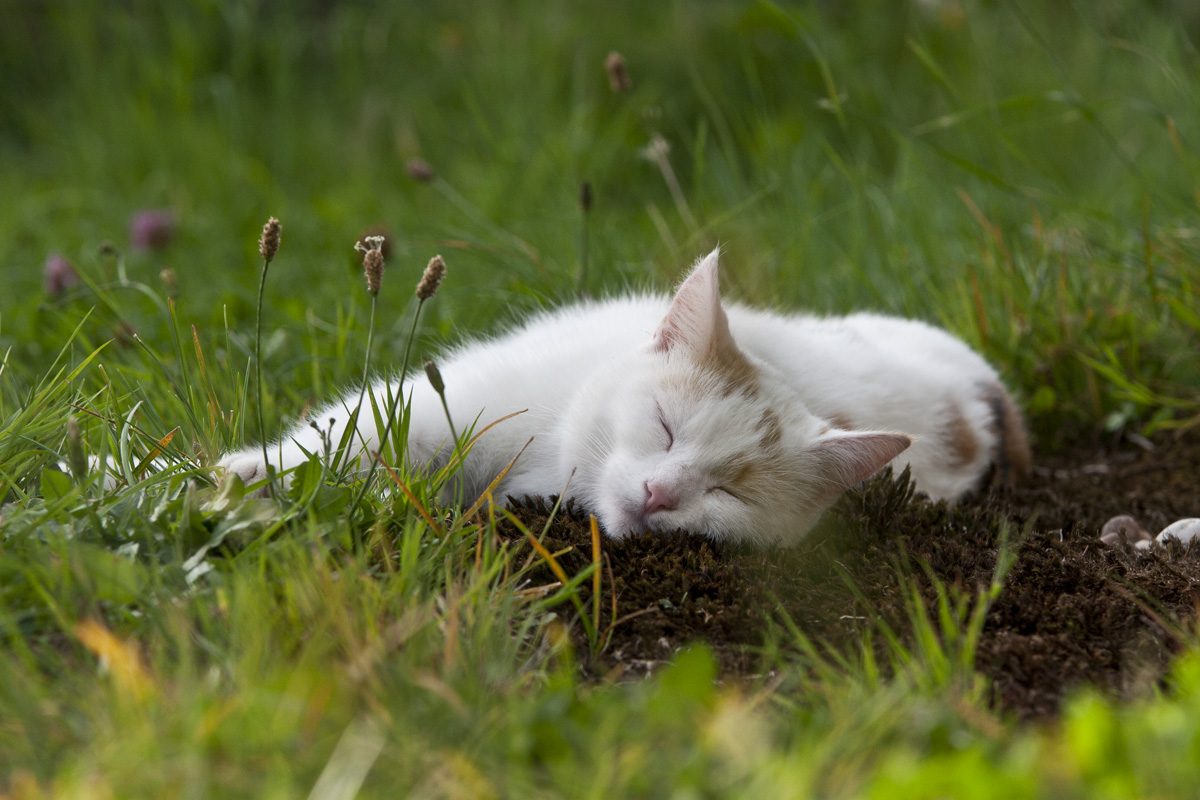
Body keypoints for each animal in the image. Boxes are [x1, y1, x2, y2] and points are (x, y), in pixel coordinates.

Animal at [218, 250, 1032, 544]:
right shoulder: (450, 406)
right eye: (665, 427)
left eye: (730, 492)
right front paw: (231, 478)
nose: (657, 492)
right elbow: (340, 439)